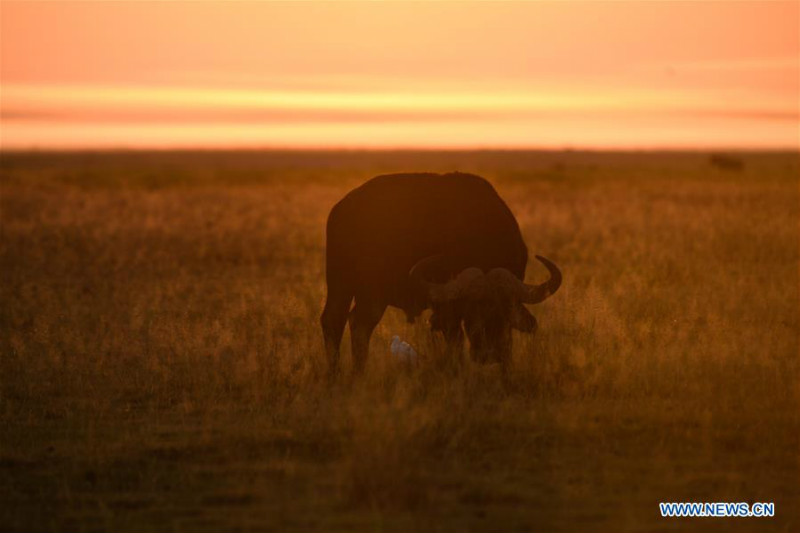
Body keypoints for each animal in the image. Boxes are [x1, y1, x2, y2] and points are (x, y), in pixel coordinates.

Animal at [320, 172, 564, 372]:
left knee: (337, 320)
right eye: (471, 309)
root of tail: (341, 210)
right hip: (367, 291)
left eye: (505, 309)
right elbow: (455, 342)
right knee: (355, 323)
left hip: (342, 285)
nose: (488, 354)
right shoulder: (447, 310)